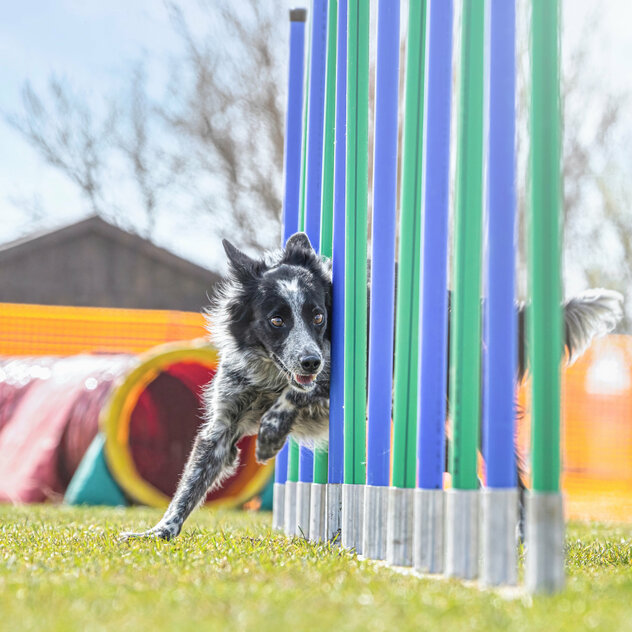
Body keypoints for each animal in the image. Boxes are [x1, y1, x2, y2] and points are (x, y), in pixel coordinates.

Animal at [121, 230, 624, 540]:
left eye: (318, 316)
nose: (309, 358)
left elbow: (300, 393)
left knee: (513, 478)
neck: (271, 374)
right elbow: (190, 483)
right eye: (276, 319)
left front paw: (270, 435)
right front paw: (159, 532)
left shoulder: (335, 373)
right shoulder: (223, 426)